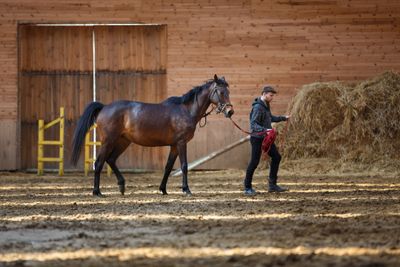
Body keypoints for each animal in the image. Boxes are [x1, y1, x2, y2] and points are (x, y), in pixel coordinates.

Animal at [72, 75, 234, 197]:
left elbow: (168, 167)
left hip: (123, 142)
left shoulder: (174, 145)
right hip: (108, 141)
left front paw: (163, 189)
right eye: (220, 92)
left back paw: (121, 185)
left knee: (111, 159)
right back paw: (97, 192)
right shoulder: (181, 143)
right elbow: (184, 165)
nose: (230, 112)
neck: (186, 110)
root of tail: (104, 107)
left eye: (228, 91)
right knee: (99, 162)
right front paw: (186, 189)